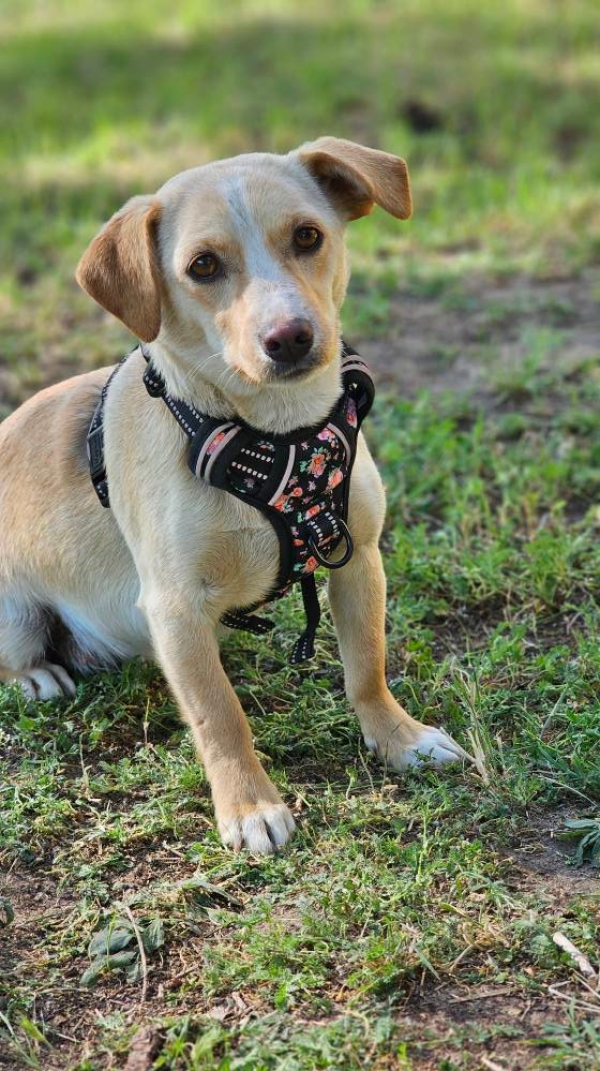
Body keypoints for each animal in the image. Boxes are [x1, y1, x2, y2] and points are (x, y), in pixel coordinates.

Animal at [0, 137, 468, 854]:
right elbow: (218, 715)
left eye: (308, 236)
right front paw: (249, 806)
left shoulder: (358, 557)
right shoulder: (174, 605)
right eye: (203, 266)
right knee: (17, 659)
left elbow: (367, 665)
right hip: (13, 614)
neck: (276, 433)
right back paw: (39, 675)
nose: (290, 337)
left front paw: (399, 739)